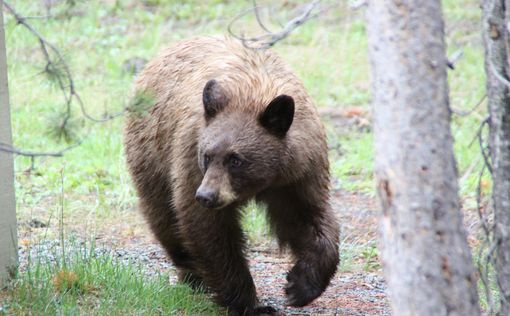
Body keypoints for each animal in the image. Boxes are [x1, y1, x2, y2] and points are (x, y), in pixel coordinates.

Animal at [123, 36, 338, 314]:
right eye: (207, 156)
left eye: (236, 159)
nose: (205, 195)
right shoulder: (190, 154)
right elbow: (209, 229)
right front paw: (250, 303)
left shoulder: (298, 173)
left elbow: (308, 217)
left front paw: (300, 286)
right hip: (152, 154)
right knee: (164, 215)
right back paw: (192, 275)